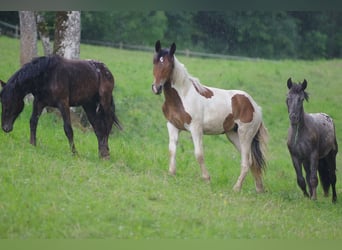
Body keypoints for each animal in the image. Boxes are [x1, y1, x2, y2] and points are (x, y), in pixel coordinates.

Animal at [152, 41, 268, 192]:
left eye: (169, 65)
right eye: (154, 62)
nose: (156, 88)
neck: (183, 96)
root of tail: (255, 106)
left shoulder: (196, 128)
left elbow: (199, 154)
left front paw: (206, 179)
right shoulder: (172, 126)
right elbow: (172, 150)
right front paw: (171, 174)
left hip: (245, 135)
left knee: (246, 161)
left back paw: (236, 188)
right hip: (233, 135)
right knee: (252, 161)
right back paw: (259, 189)